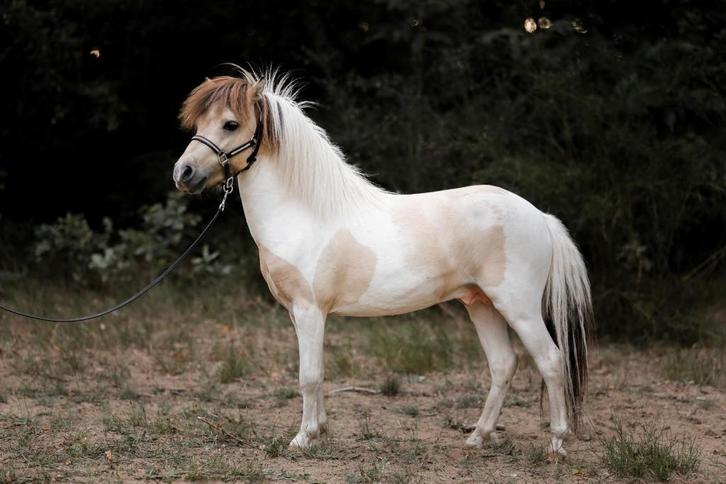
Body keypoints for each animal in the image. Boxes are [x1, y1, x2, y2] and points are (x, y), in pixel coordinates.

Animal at [172, 68, 593, 455]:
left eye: (231, 124)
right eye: (199, 122)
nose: (183, 173)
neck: (305, 213)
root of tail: (540, 216)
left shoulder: (310, 310)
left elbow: (309, 375)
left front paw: (302, 439)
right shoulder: (297, 313)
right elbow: (316, 372)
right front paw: (319, 430)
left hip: (518, 306)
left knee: (551, 361)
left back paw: (556, 443)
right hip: (481, 303)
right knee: (503, 364)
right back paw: (477, 437)